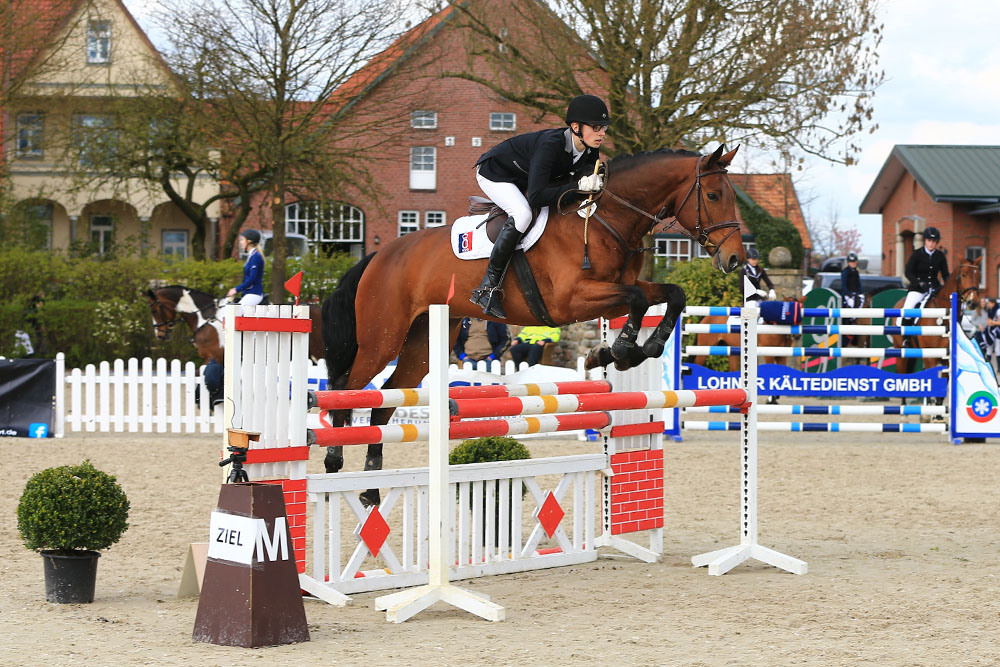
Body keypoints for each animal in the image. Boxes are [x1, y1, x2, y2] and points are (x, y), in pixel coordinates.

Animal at [320, 145, 746, 506]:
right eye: (712, 196)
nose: (736, 260)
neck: (605, 220)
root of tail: (379, 255)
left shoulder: (620, 286)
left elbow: (672, 294)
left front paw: (634, 349)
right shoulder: (571, 299)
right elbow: (640, 301)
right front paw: (619, 351)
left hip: (423, 342)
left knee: (385, 402)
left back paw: (370, 490)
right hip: (382, 339)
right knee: (347, 391)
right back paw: (333, 466)